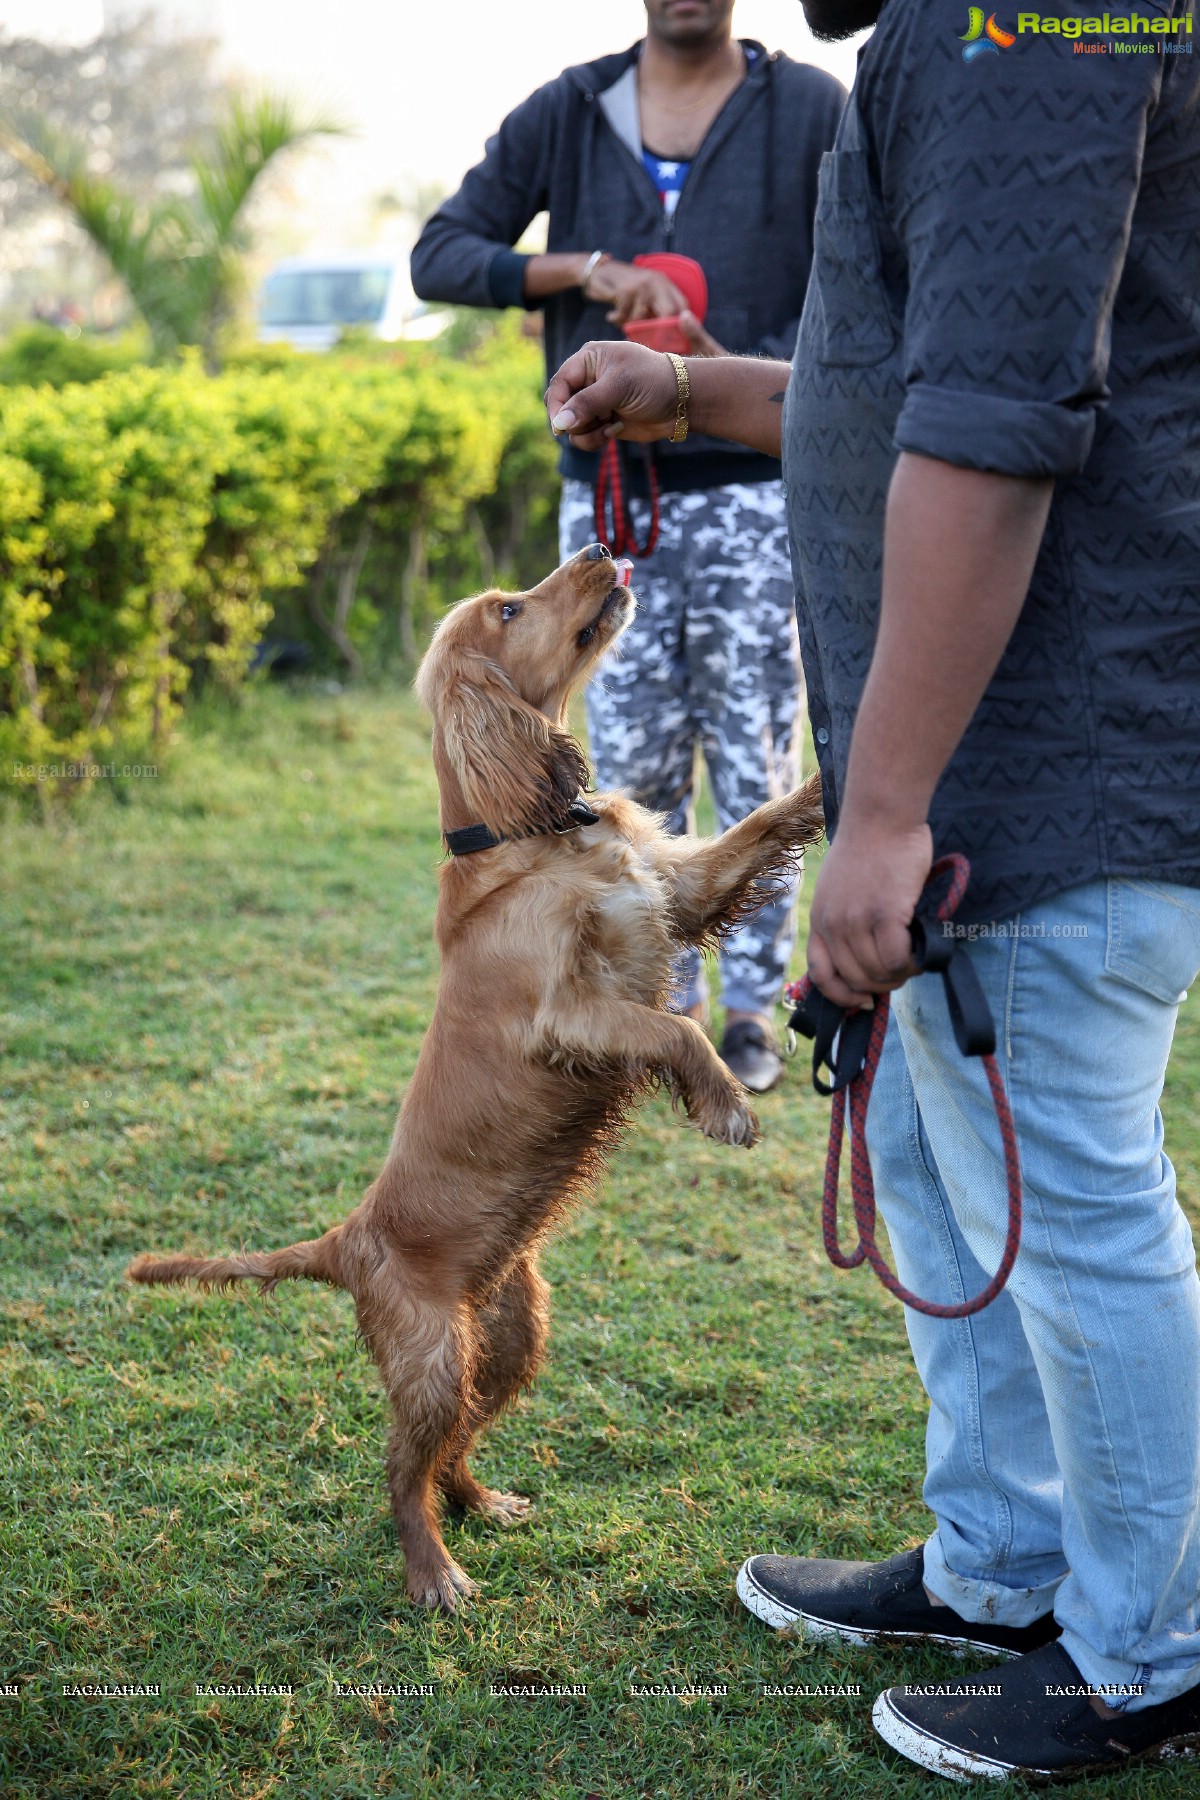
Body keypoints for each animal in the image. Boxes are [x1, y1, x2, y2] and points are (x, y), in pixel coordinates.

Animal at [131, 540, 827, 1612]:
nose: (600, 548)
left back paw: (482, 1504)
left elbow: (757, 828)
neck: (537, 839)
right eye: (507, 608)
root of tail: (347, 1240)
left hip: (506, 1336)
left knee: (451, 1450)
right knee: (397, 1469)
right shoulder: (570, 1015)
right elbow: (674, 1030)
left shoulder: (677, 893)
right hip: (430, 1358)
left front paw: (836, 781)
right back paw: (434, 1573)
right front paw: (726, 1106)